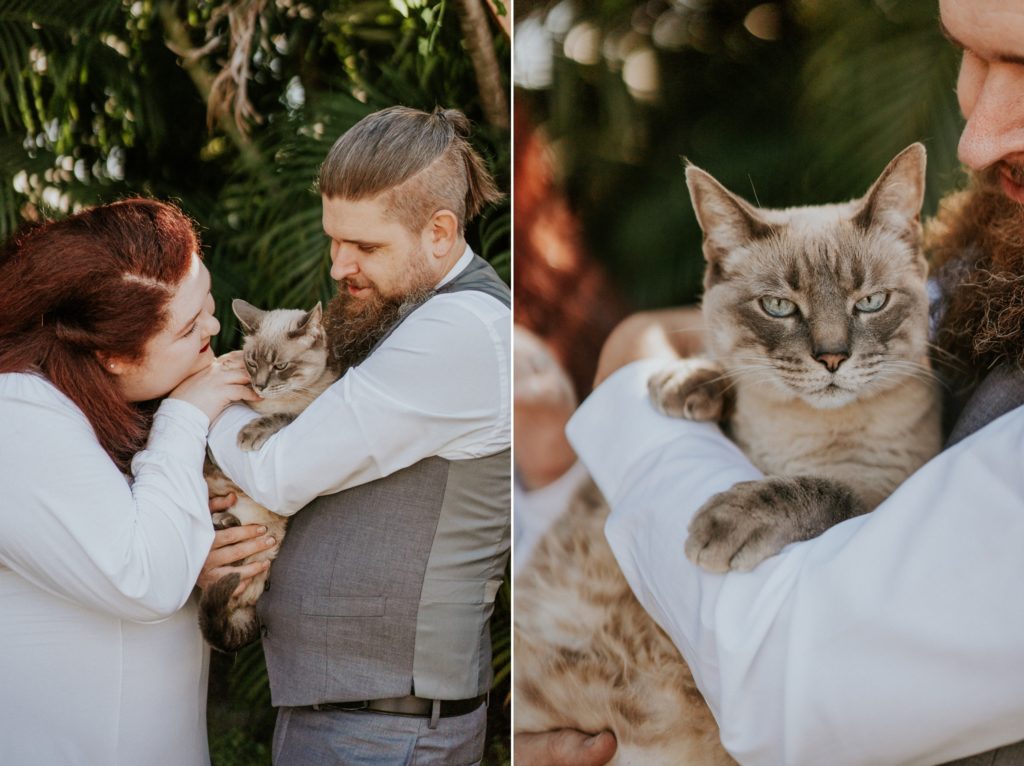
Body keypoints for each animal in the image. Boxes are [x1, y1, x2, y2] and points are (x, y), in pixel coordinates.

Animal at [200, 299, 339, 651]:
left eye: (280, 366)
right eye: (251, 363)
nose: (260, 386)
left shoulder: (302, 415)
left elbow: (282, 417)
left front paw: (247, 434)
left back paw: (225, 523)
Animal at [516, 145, 937, 766]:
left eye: (871, 303)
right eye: (778, 306)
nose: (832, 358)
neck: (798, 430)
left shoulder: (884, 491)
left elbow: (819, 488)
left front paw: (725, 523)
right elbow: (724, 369)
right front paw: (685, 385)